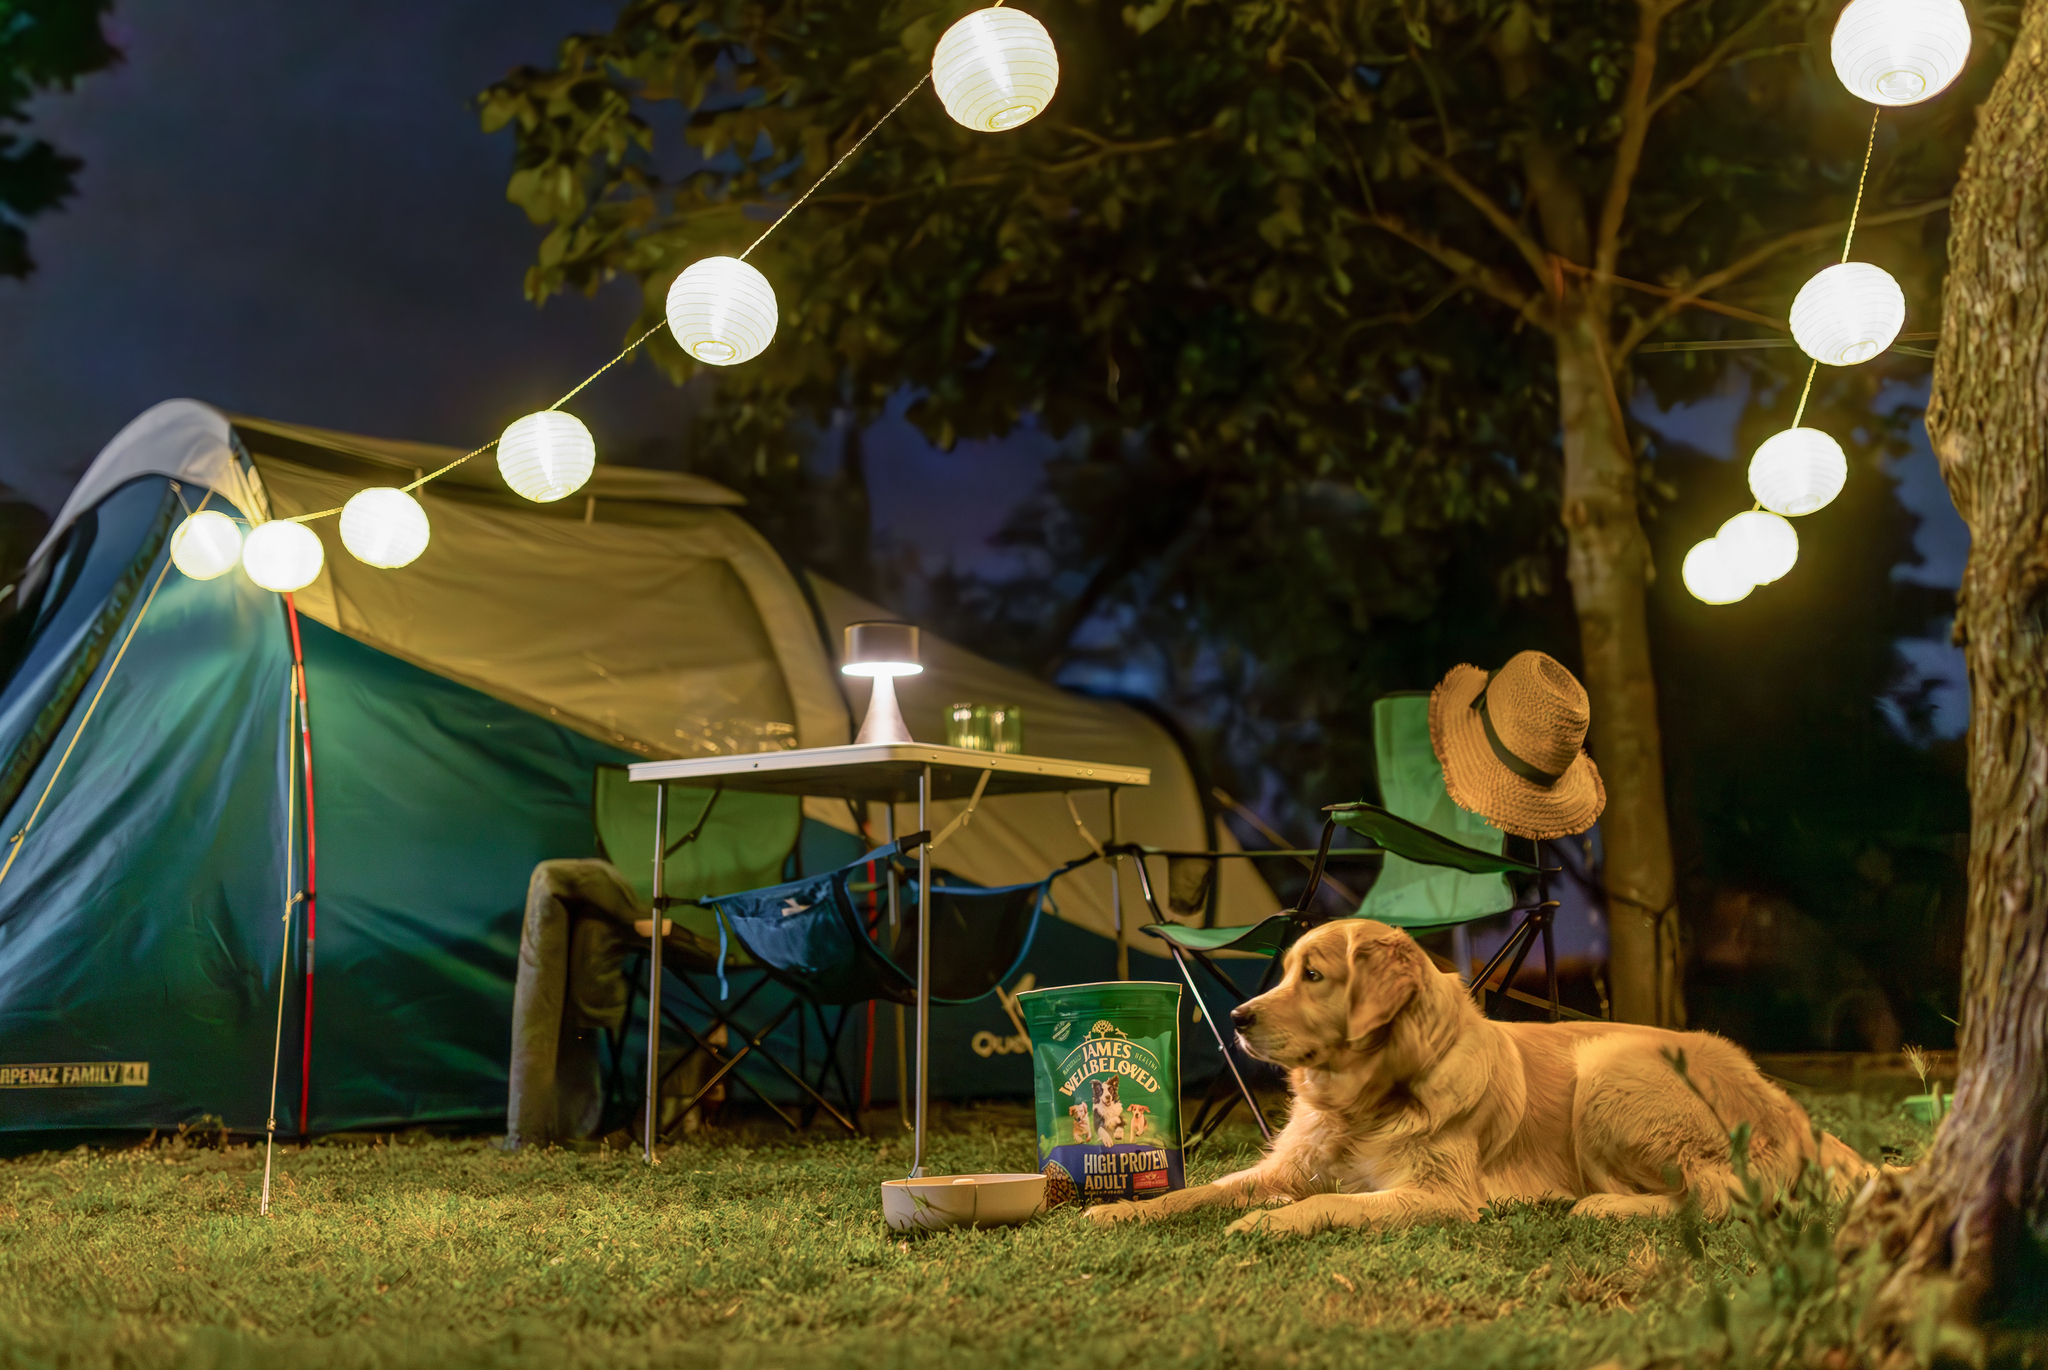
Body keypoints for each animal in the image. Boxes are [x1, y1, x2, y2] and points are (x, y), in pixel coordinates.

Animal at [1097, 913, 1867, 1236]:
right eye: (1285, 971)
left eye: (1313, 976)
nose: (1237, 1018)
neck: (1364, 1099)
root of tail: (1787, 1109)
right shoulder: (1287, 1167)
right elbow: (1202, 1191)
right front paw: (1120, 1209)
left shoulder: (1438, 1192)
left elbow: (1330, 1204)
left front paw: (1269, 1223)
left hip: (1609, 1070)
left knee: (1714, 1194)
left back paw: (1594, 1205)